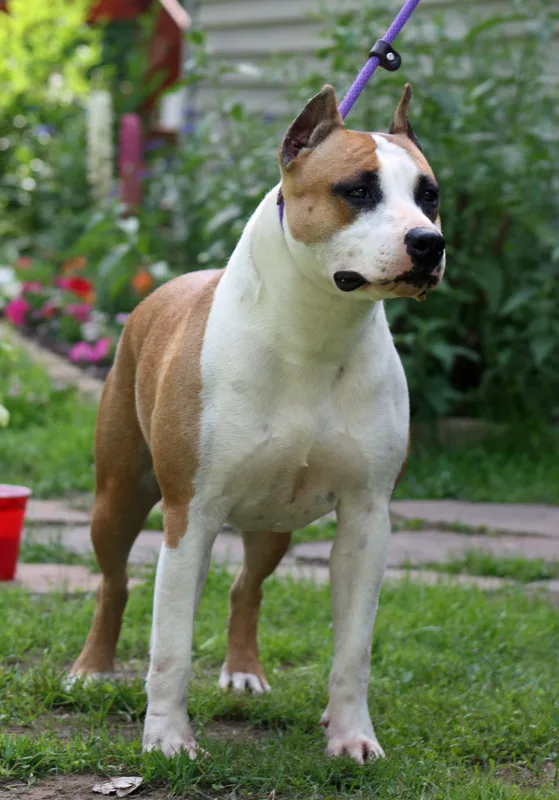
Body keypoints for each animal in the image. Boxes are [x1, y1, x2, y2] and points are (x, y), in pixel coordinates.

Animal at [71, 83, 445, 764]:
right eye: (358, 190)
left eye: (428, 194)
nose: (428, 242)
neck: (316, 333)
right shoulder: (190, 513)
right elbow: (170, 645)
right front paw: (167, 737)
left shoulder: (367, 519)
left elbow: (354, 650)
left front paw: (351, 735)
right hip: (119, 499)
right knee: (117, 583)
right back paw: (92, 669)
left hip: (274, 523)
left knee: (246, 586)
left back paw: (244, 671)